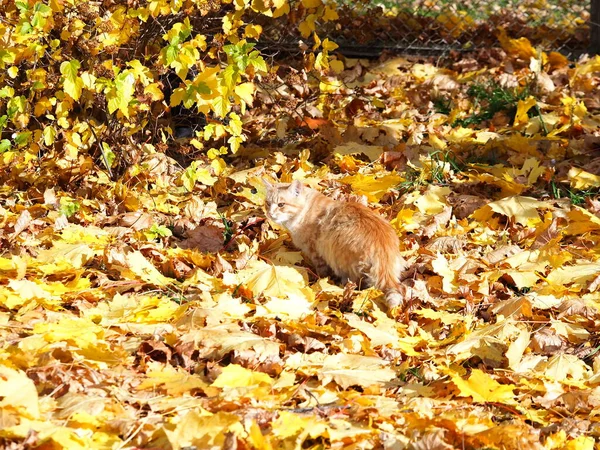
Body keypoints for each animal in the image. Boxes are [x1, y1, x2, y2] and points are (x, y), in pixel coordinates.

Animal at [264, 179, 408, 310]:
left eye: (281, 204)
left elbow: (322, 272)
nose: (270, 214)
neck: (304, 211)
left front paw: (318, 282)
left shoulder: (316, 252)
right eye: (268, 203)